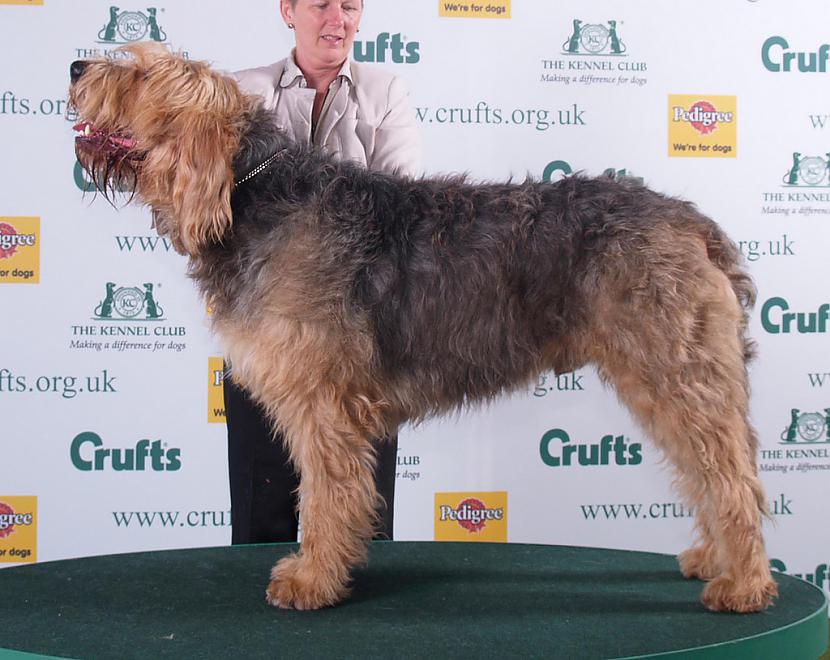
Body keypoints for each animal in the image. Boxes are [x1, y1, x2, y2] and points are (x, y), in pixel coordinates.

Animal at [70, 43, 780, 612]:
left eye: (140, 72)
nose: (76, 66)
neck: (253, 194)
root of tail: (690, 220)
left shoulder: (322, 403)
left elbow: (324, 496)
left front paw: (312, 580)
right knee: (712, 468)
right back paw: (715, 560)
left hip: (677, 373)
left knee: (732, 474)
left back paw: (745, 584)